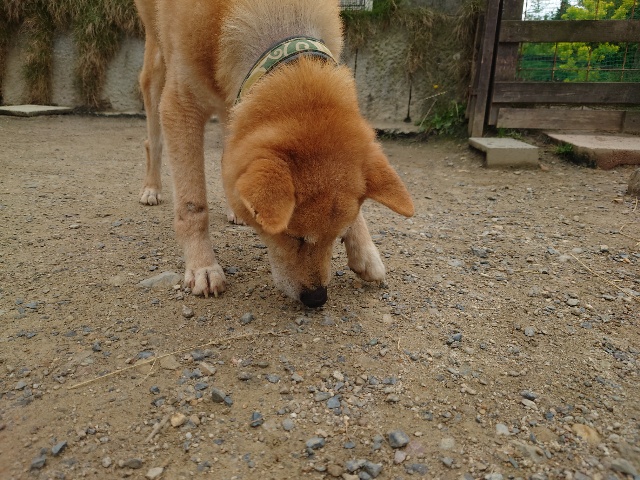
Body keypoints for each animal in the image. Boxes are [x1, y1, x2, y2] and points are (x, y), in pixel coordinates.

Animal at [134, 0, 414, 307]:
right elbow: (192, 205)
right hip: (157, 69)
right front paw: (202, 266)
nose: (317, 298)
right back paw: (151, 188)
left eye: (337, 236)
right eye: (291, 236)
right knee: (153, 140)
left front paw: (365, 250)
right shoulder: (181, 106)